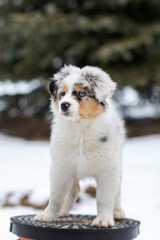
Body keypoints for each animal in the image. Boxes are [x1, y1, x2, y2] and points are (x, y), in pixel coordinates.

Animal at [34, 64, 125, 226]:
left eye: (81, 93)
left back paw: (118, 212)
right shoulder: (61, 167)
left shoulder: (108, 169)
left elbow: (105, 198)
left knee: (117, 192)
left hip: (118, 163)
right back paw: (63, 211)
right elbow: (56, 196)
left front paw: (103, 220)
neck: (80, 128)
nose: (64, 105)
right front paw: (48, 215)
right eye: (62, 93)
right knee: (73, 191)